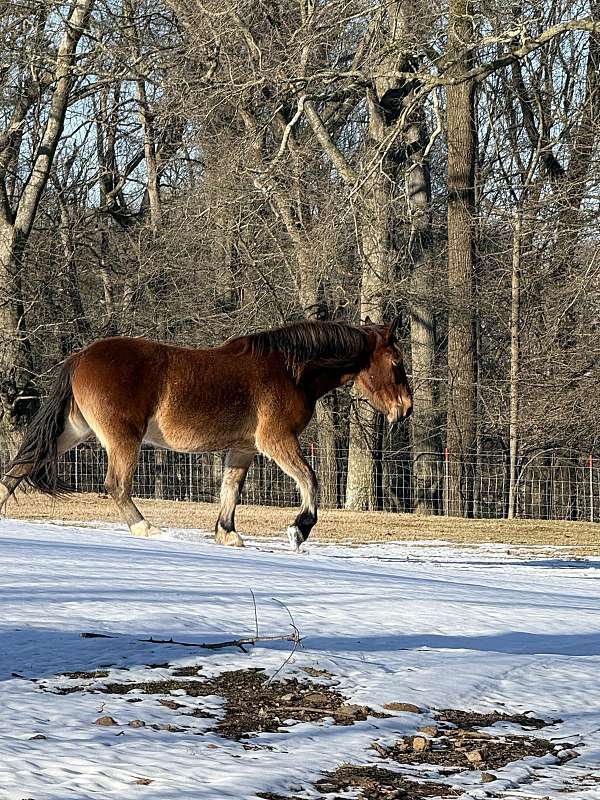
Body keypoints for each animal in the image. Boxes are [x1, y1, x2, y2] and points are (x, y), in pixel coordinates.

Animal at [0, 319, 412, 550]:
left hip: (73, 431)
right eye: (396, 362)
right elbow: (310, 480)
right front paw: (300, 529)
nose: (405, 408)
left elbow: (231, 490)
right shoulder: (276, 441)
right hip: (122, 439)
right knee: (116, 485)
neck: (290, 369)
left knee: (20, 467)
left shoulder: (244, 449)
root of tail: (79, 357)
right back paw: (145, 527)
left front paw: (227, 533)